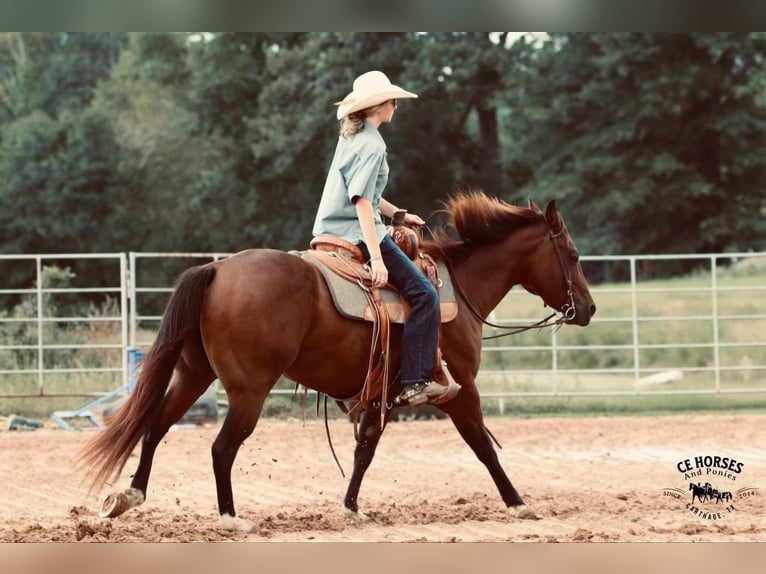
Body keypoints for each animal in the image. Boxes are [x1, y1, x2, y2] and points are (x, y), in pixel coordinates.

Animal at [82, 191, 600, 532]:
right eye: (573, 254)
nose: (589, 309)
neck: (459, 288)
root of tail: (217, 268)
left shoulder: (381, 394)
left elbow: (365, 449)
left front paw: (350, 506)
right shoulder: (459, 390)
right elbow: (483, 447)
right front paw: (518, 503)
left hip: (193, 374)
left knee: (156, 426)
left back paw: (129, 495)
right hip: (248, 391)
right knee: (221, 448)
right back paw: (231, 518)